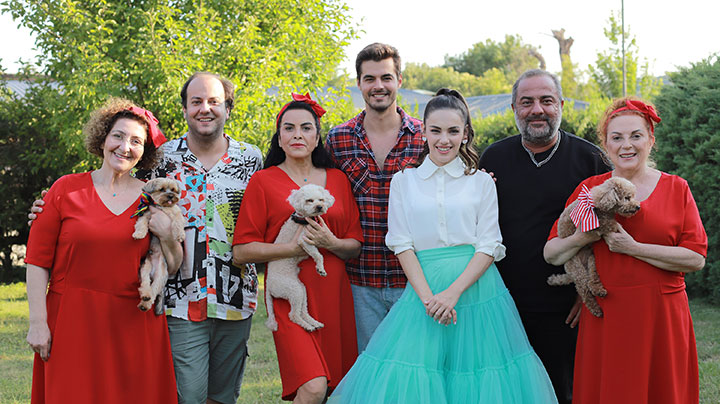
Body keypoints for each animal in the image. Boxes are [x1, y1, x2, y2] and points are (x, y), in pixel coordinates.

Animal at [132, 178, 186, 315]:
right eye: (161, 189)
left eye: (173, 190)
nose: (171, 195)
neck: (163, 207)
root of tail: (153, 272)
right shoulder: (146, 215)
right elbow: (141, 224)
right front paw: (139, 234)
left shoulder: (176, 213)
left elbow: (178, 223)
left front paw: (179, 235)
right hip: (145, 269)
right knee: (145, 285)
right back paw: (145, 298)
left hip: (160, 277)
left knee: (154, 290)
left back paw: (145, 303)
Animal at [265, 184, 335, 332]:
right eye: (309, 200)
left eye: (321, 200)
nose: (319, 207)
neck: (305, 220)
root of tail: (268, 286)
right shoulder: (304, 241)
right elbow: (318, 255)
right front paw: (320, 269)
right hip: (293, 289)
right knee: (293, 315)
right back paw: (307, 326)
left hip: (301, 289)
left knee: (303, 311)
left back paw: (314, 322)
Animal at [547, 177, 640, 317]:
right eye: (627, 197)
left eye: (633, 196)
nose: (638, 206)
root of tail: (569, 273)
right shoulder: (595, 224)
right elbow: (609, 224)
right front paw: (617, 226)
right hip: (577, 269)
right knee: (584, 290)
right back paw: (596, 310)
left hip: (591, 261)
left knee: (592, 281)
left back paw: (599, 291)